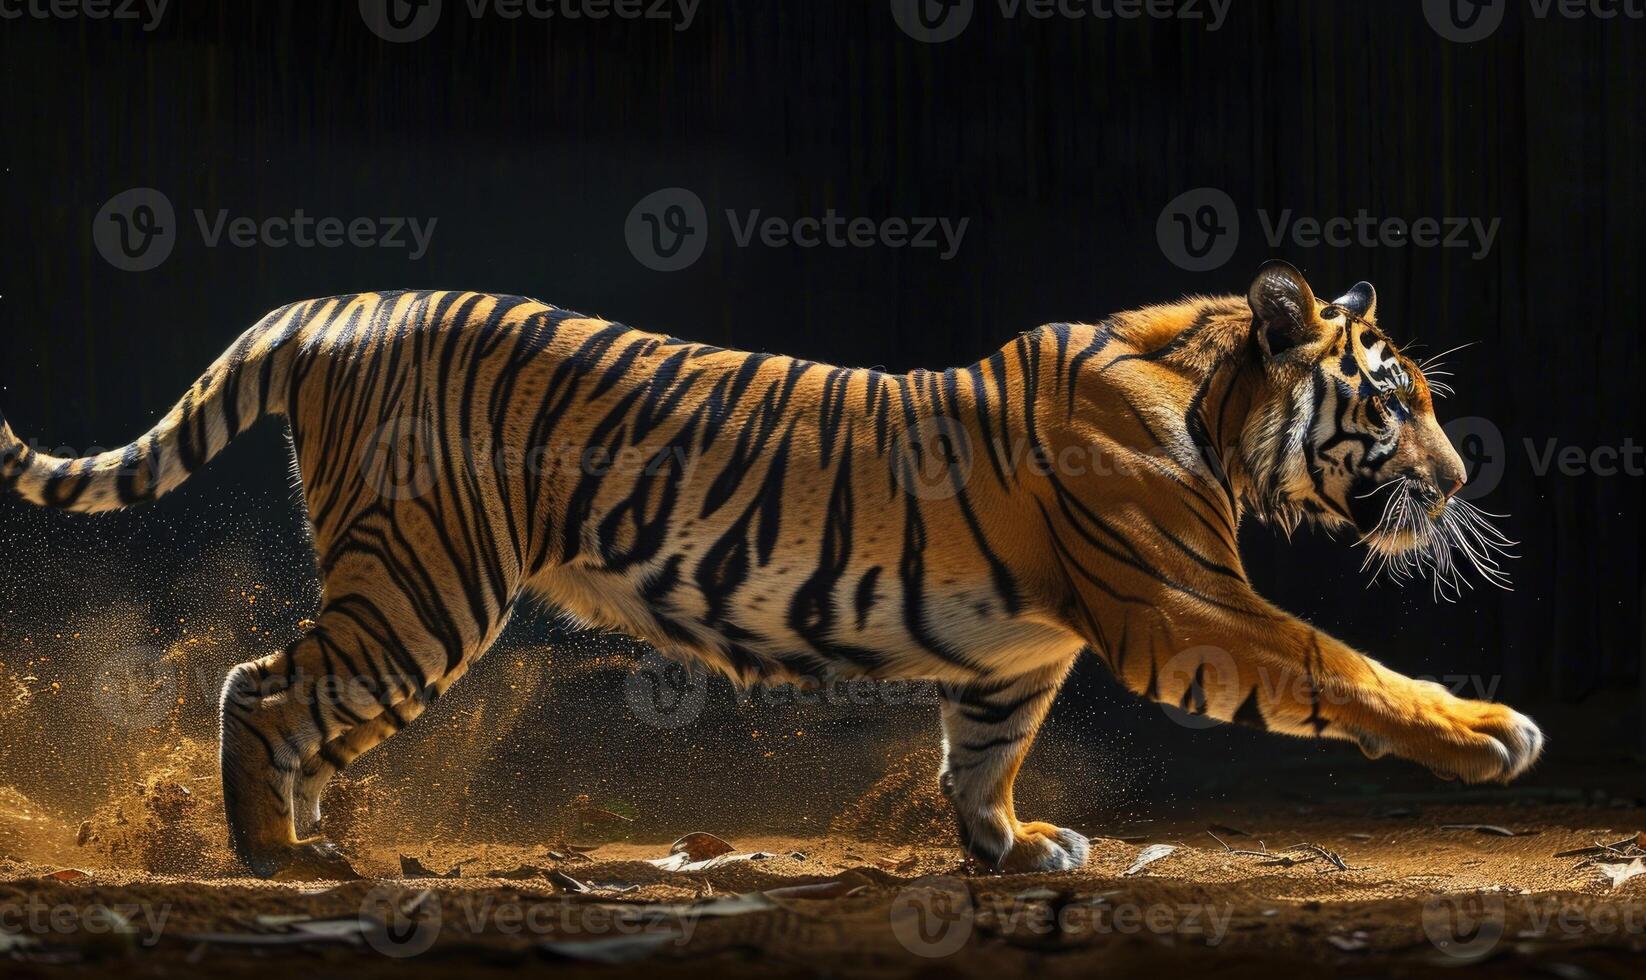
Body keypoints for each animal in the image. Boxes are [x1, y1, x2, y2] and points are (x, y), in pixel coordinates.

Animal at [0, 260, 1540, 882]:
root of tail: (334, 302)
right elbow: (1341, 664)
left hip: (404, 594)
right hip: (424, 587)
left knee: (300, 703)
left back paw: (312, 835)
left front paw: (1012, 845)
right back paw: (274, 856)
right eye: (1390, 400)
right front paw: (1486, 733)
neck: (1213, 411)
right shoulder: (1191, 612)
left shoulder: (1014, 659)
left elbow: (979, 757)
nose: (1463, 481)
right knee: (261, 688)